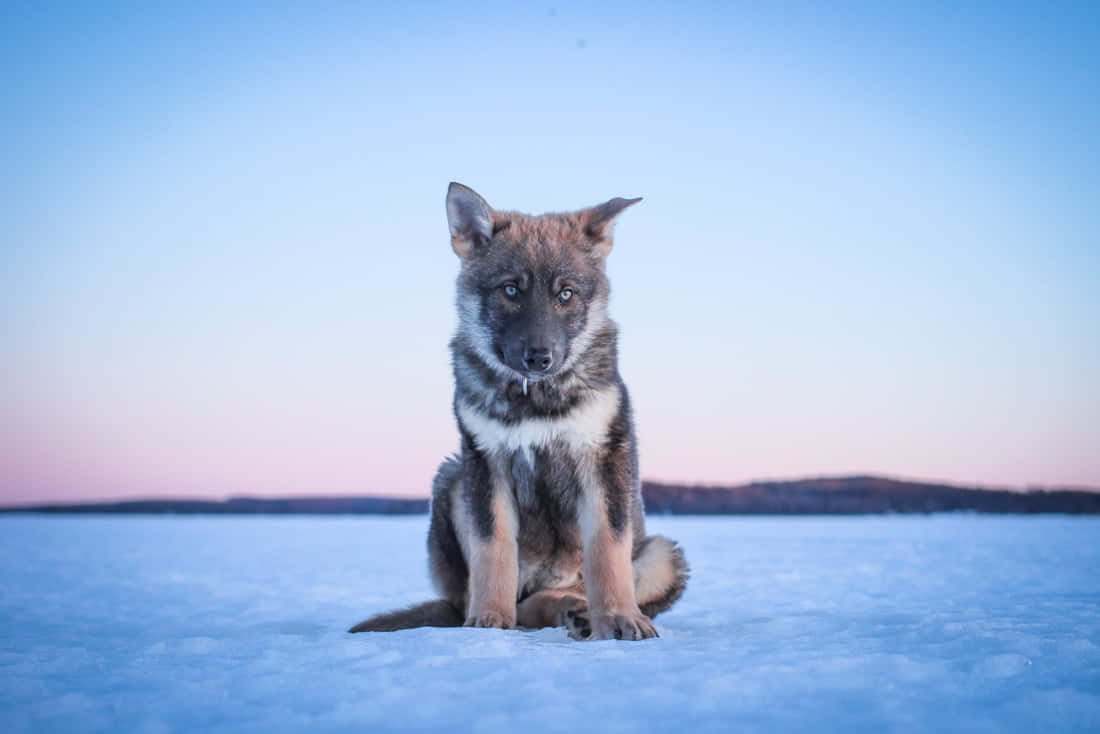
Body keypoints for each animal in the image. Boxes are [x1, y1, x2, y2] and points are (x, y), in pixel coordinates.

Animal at [347, 187, 682, 638]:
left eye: (565, 294)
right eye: (511, 290)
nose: (539, 357)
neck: (535, 397)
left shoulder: (602, 458)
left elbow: (607, 550)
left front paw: (618, 617)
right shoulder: (485, 463)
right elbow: (494, 549)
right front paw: (488, 620)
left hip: (663, 554)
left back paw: (576, 611)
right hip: (450, 479)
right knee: (496, 602)